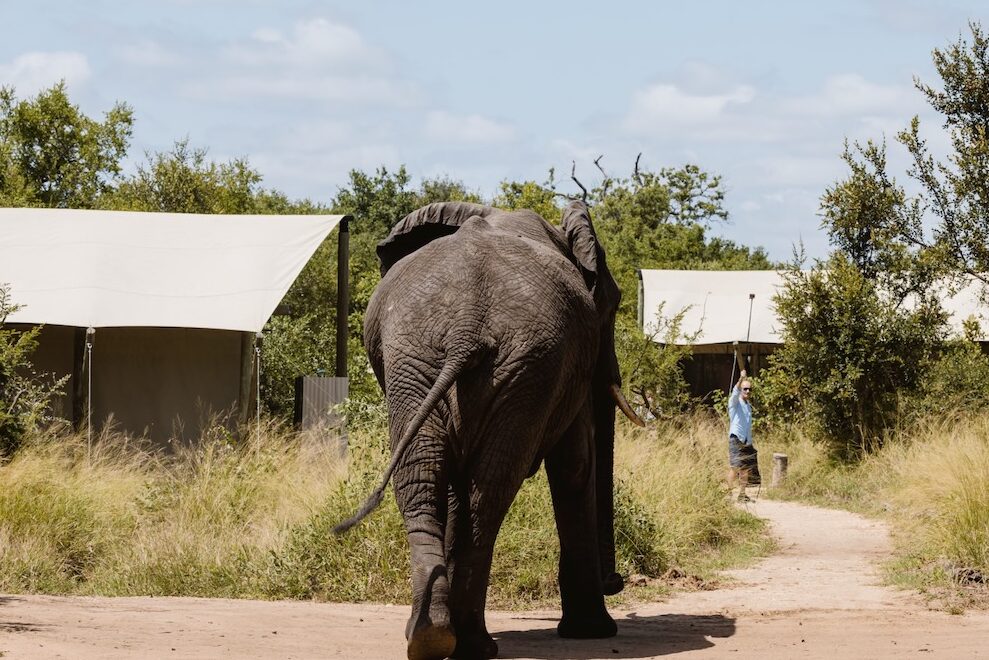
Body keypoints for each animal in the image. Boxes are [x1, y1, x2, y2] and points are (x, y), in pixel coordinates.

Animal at [334, 199, 640, 656]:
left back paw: (433, 637)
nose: (617, 581)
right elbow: (576, 466)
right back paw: (464, 643)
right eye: (615, 304)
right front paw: (593, 632)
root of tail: (467, 325)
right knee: (482, 490)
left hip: (443, 359)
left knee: (431, 477)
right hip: (492, 363)